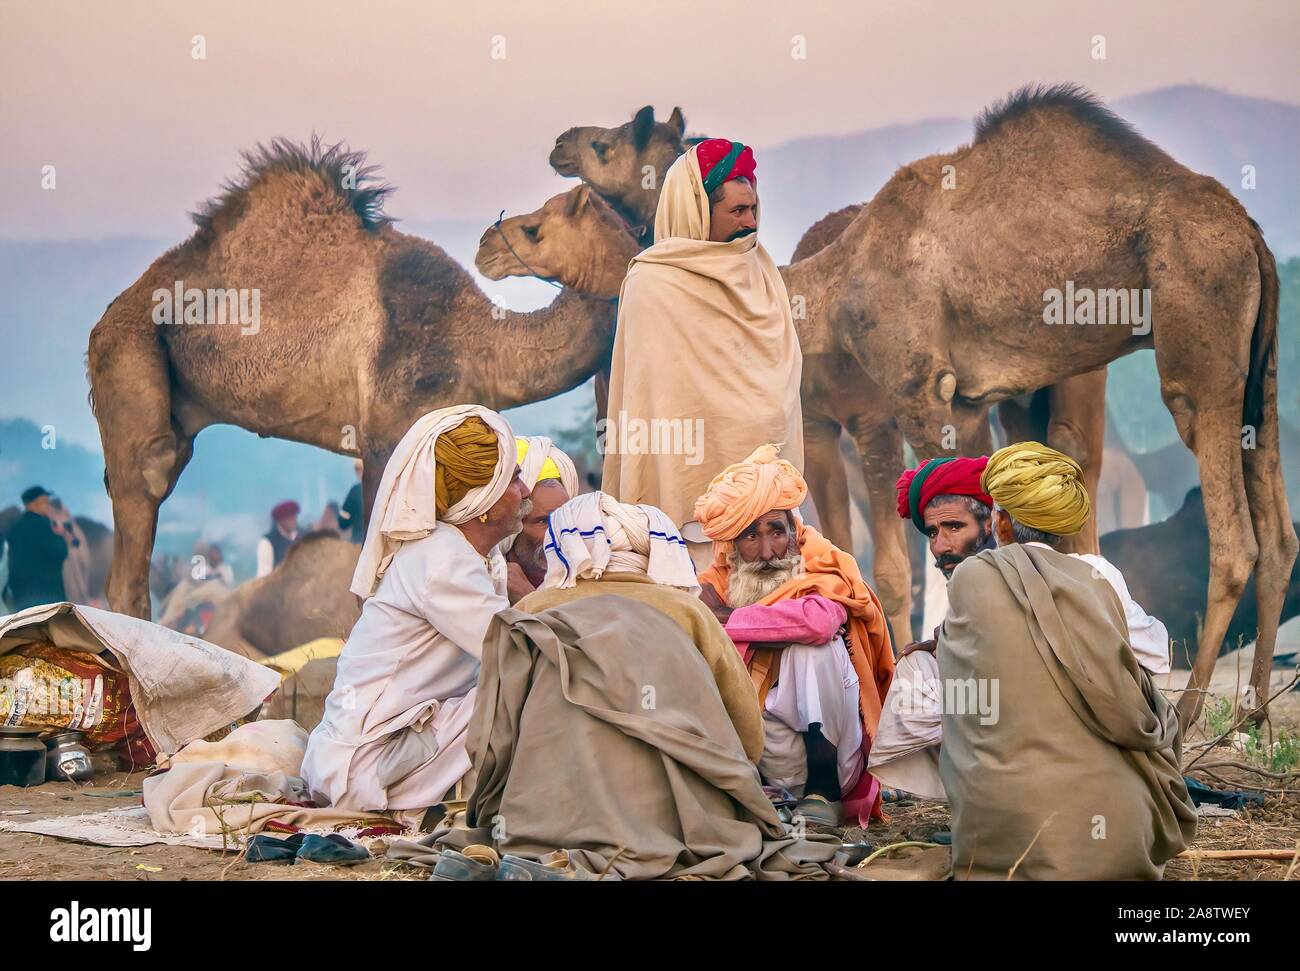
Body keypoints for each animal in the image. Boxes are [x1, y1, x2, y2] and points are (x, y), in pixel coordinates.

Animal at [89, 137, 616, 618]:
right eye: (534, 228)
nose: (487, 243)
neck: (480, 343)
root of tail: (111, 313)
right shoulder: (389, 434)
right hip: (125, 353)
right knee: (148, 476)